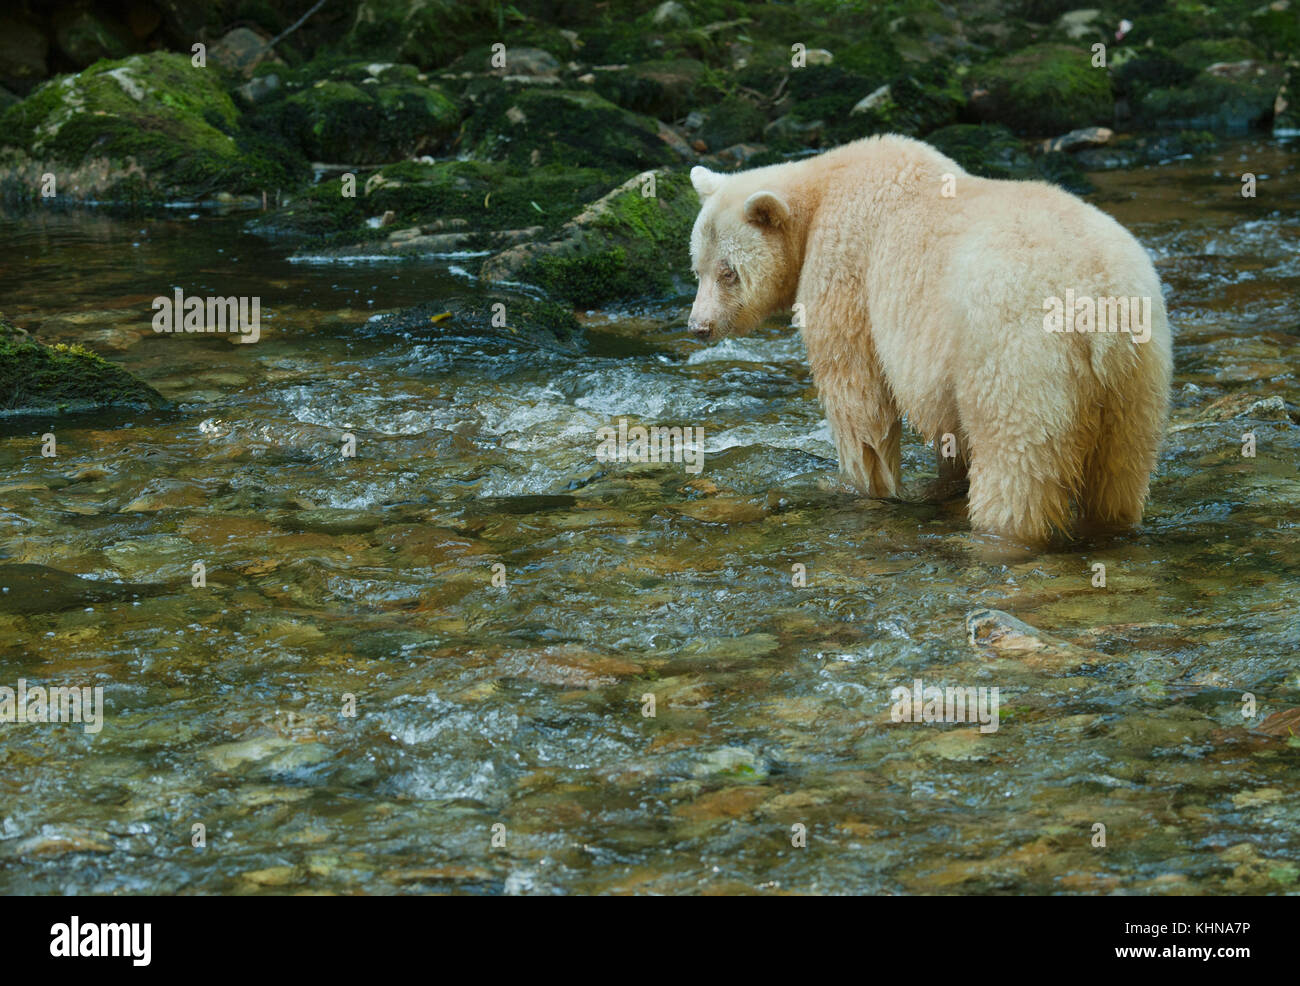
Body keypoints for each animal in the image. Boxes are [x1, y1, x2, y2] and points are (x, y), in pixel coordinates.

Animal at [686, 133, 1175, 548]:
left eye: (729, 272)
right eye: (698, 267)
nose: (698, 326)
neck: (822, 191)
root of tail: (1100, 303)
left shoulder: (846, 269)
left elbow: (857, 396)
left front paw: (859, 484)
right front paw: (942, 480)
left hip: (1015, 352)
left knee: (1014, 459)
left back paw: (1001, 532)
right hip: (1138, 371)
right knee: (1121, 468)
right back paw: (1111, 524)